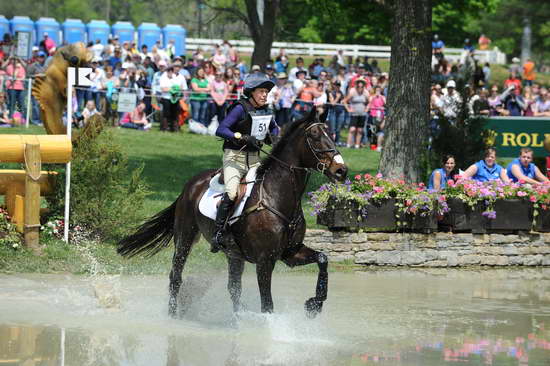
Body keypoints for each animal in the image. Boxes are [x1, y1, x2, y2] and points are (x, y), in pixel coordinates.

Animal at [118, 108, 348, 318]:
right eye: (314, 136)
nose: (341, 170)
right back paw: (172, 315)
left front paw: (314, 304)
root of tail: (190, 185)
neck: (277, 197)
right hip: (185, 237)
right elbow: (267, 304)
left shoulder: (290, 253)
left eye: (331, 134)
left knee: (233, 288)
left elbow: (323, 259)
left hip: (233, 253)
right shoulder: (265, 261)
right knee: (176, 277)